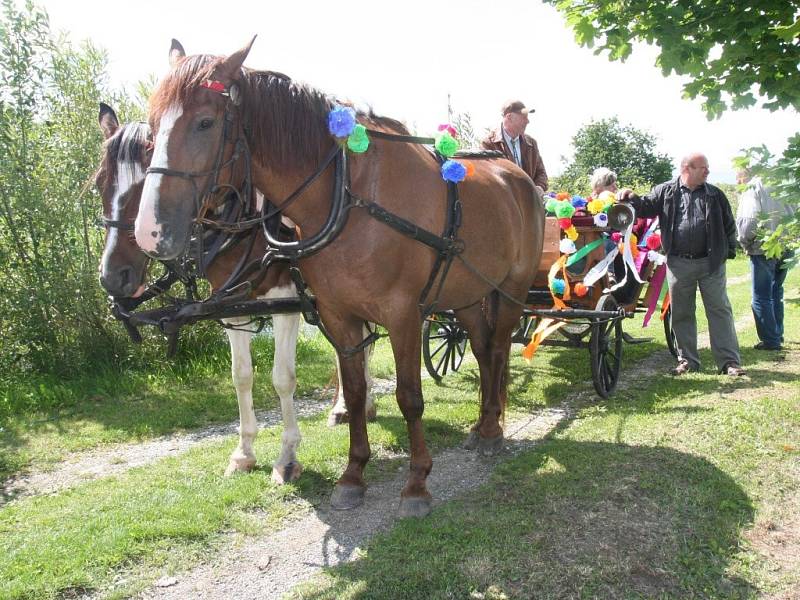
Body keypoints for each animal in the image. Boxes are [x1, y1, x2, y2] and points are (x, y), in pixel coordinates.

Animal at [95, 105, 376, 486]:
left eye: (144, 189)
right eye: (100, 184)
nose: (113, 277)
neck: (244, 221)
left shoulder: (286, 301)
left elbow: (282, 378)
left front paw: (287, 457)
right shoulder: (231, 308)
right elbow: (240, 376)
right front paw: (244, 453)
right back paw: (346, 406)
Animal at [136, 41, 544, 516]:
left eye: (205, 122)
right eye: (151, 128)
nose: (149, 231)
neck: (351, 195)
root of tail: (517, 177)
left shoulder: (404, 314)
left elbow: (409, 397)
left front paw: (416, 484)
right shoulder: (338, 313)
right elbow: (353, 390)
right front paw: (353, 474)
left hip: (511, 289)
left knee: (497, 348)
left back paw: (493, 430)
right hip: (464, 293)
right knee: (480, 346)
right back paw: (481, 425)